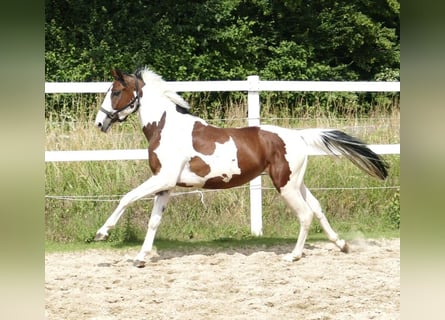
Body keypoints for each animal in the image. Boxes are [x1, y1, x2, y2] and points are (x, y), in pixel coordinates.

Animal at [94, 68, 388, 268]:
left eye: (116, 92)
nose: (100, 122)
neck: (166, 128)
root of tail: (298, 136)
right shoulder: (165, 185)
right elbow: (154, 221)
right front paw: (141, 257)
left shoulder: (162, 178)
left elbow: (126, 198)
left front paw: (102, 233)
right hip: (296, 182)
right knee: (316, 208)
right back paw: (342, 244)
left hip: (285, 185)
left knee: (305, 214)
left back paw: (293, 256)